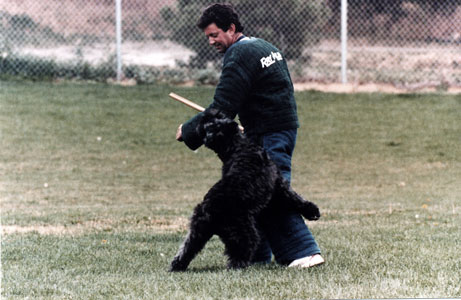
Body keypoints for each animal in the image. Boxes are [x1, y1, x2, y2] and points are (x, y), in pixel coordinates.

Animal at [170, 109, 320, 270]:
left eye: (216, 117)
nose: (205, 114)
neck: (237, 147)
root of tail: (209, 211)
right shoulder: (279, 185)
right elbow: (296, 198)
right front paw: (312, 211)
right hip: (243, 233)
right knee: (239, 254)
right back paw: (240, 266)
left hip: (198, 231)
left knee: (186, 250)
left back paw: (177, 266)